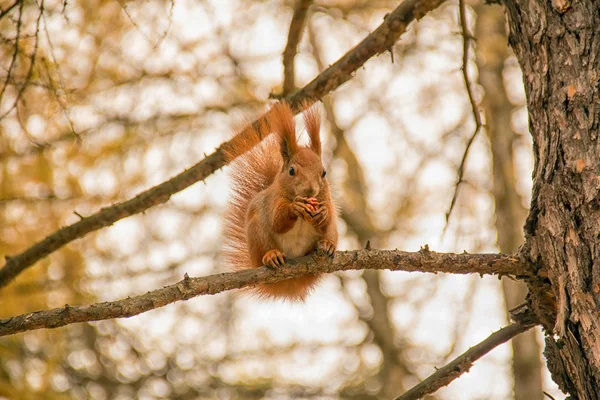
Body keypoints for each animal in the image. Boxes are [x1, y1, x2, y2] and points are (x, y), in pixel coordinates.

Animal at [223, 101, 340, 302]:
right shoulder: (272, 200)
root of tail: (290, 282)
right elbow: (277, 221)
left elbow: (328, 217)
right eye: (291, 171)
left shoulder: (327, 199)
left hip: (333, 232)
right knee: (265, 249)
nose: (310, 190)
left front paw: (323, 213)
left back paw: (326, 245)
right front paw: (295, 207)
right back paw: (271, 256)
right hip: (257, 232)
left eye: (324, 172)